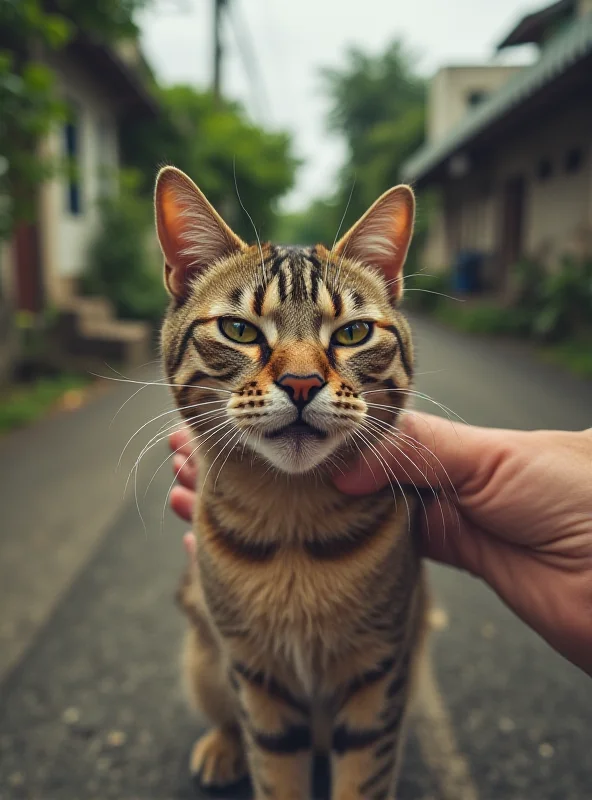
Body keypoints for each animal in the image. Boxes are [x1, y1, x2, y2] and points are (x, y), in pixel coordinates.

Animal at [155, 166, 428, 796]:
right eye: (238, 329)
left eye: (353, 333)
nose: (302, 383)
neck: (292, 523)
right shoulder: (255, 674)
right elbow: (274, 768)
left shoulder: (380, 667)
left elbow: (364, 775)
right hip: (203, 655)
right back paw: (221, 748)